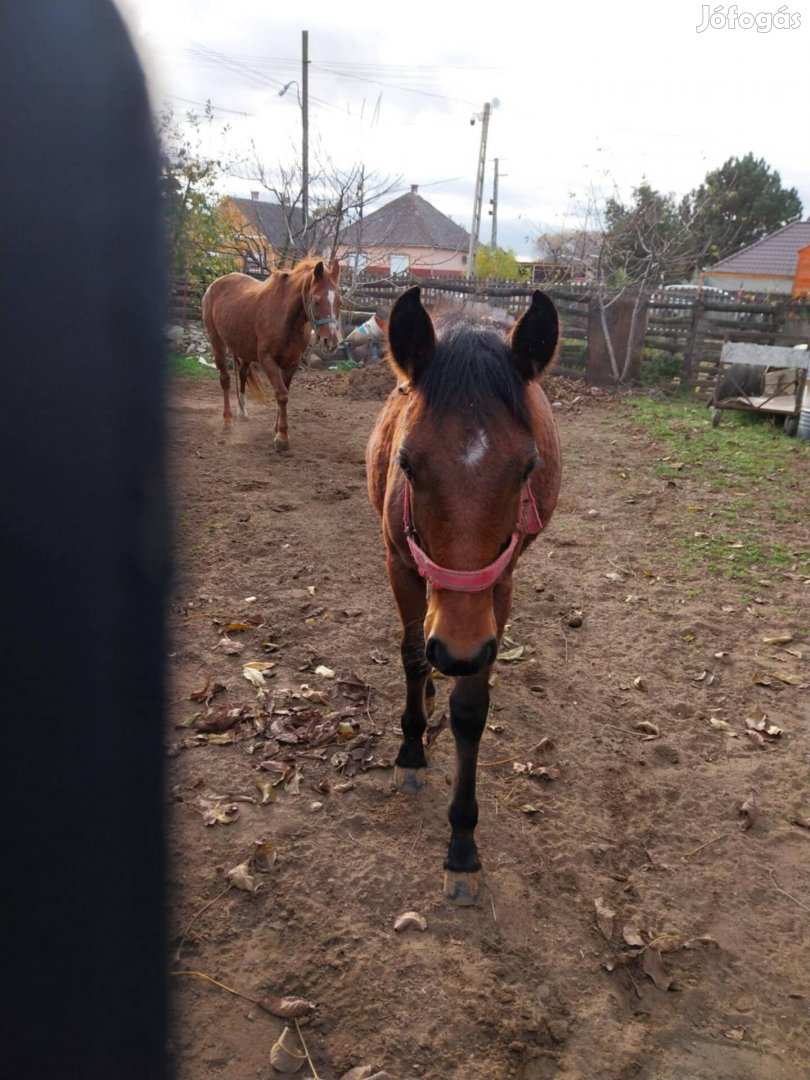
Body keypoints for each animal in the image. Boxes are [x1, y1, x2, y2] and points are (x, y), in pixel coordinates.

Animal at [204, 258, 343, 451]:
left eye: (340, 302)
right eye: (316, 301)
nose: (331, 342)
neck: (286, 318)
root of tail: (214, 285)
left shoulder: (291, 363)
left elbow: (283, 393)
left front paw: (277, 429)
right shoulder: (267, 360)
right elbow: (282, 394)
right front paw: (282, 437)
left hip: (243, 350)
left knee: (242, 374)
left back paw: (242, 411)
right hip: (217, 342)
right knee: (225, 380)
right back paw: (228, 421)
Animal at [367, 287, 561, 902]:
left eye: (527, 466)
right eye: (406, 463)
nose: (457, 651)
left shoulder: (499, 586)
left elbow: (471, 709)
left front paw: (462, 846)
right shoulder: (400, 564)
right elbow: (410, 656)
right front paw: (409, 753)